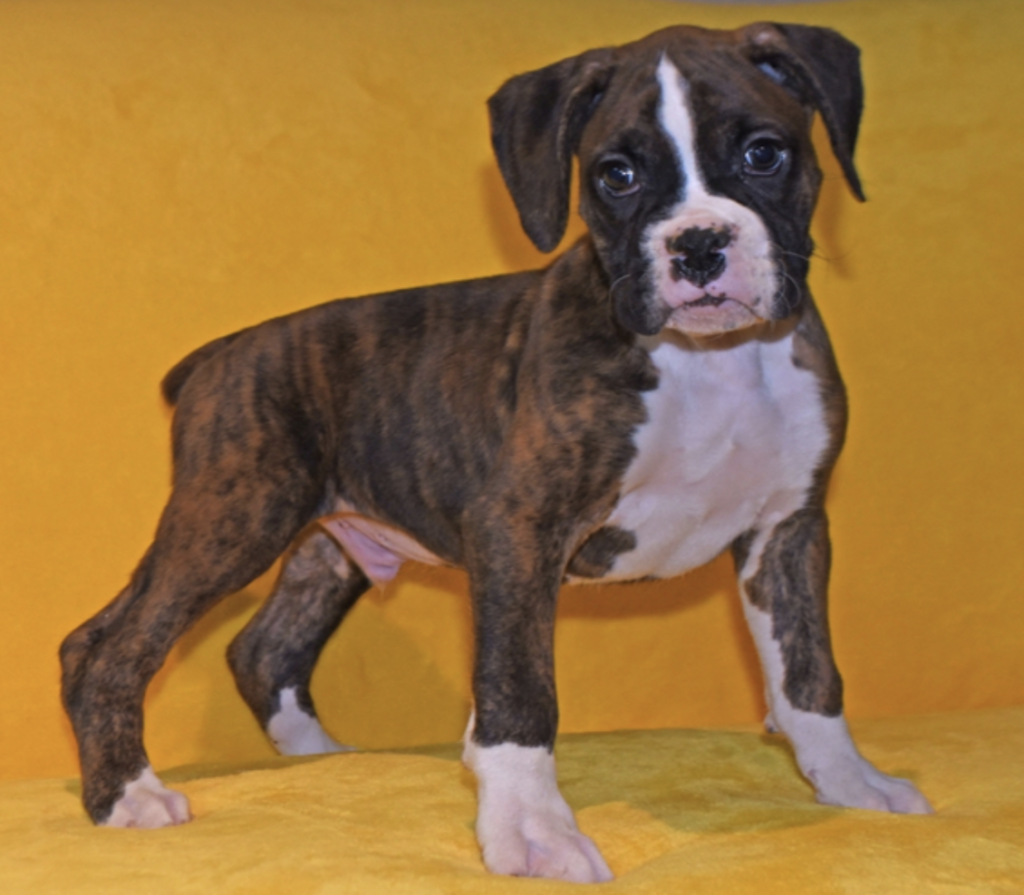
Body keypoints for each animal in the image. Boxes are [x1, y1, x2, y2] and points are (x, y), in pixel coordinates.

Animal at [61, 21, 932, 883]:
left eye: (763, 153)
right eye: (616, 175)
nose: (698, 245)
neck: (712, 360)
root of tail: (224, 351)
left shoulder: (788, 528)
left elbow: (809, 669)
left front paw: (850, 780)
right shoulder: (519, 527)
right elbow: (520, 689)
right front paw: (533, 831)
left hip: (323, 542)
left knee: (259, 647)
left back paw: (324, 760)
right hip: (236, 512)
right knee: (110, 645)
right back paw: (127, 797)